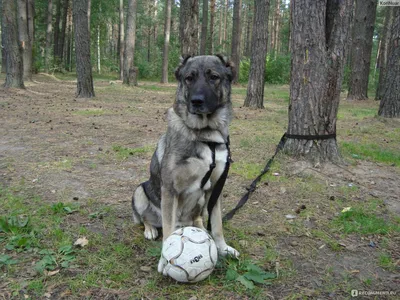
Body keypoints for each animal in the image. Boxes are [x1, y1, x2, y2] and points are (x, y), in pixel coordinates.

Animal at [131, 54, 239, 274]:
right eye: (189, 78)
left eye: (214, 77)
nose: (196, 101)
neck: (205, 135)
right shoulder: (170, 189)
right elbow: (168, 232)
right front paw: (164, 259)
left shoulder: (216, 188)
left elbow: (217, 225)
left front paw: (222, 248)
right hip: (139, 191)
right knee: (147, 218)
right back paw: (150, 229)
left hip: (201, 201)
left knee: (198, 218)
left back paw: (200, 227)